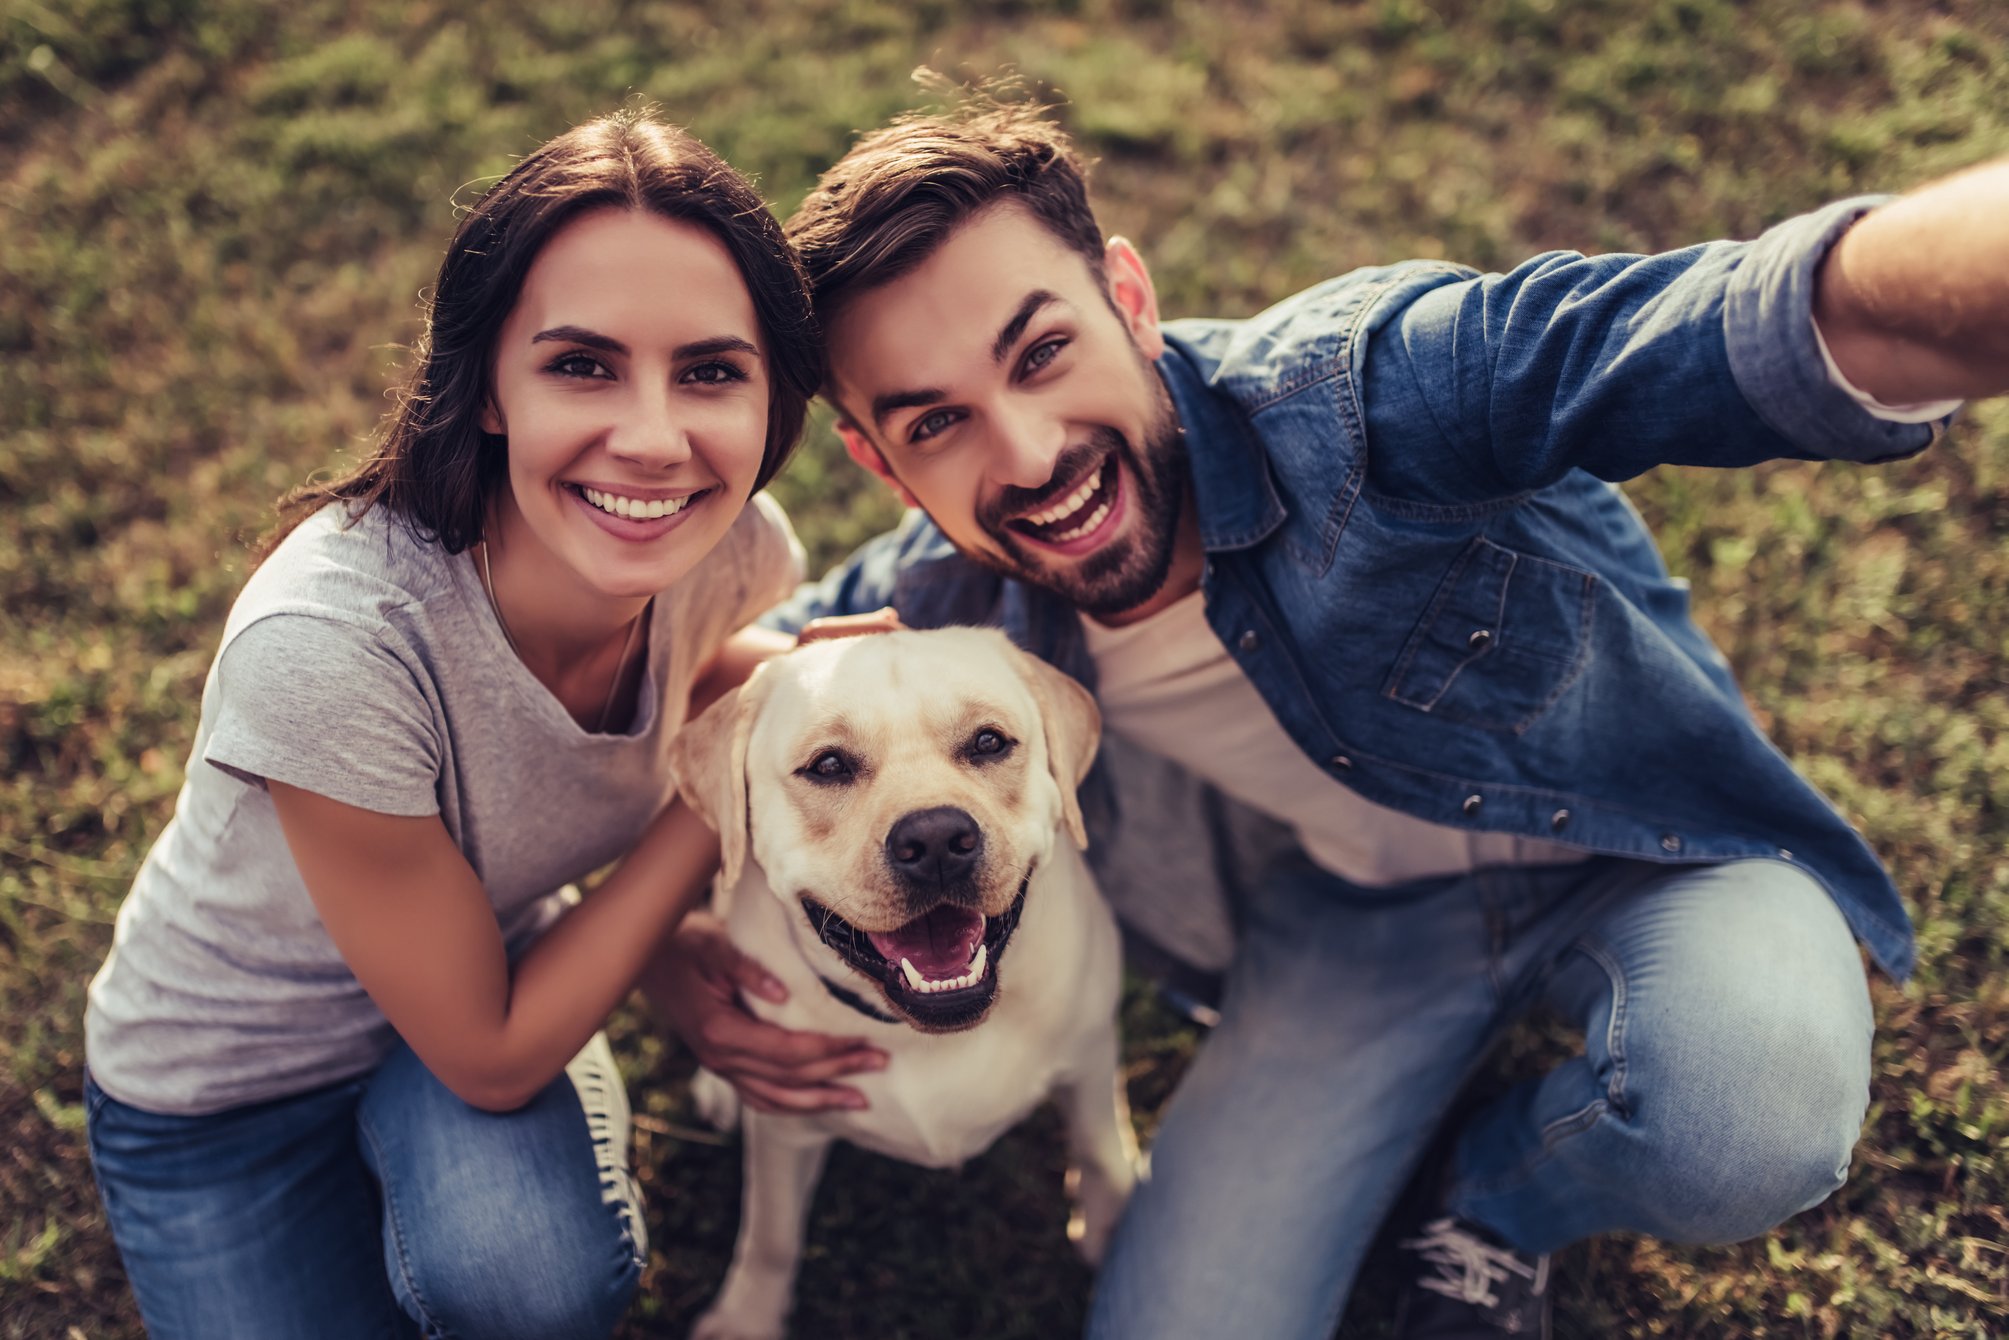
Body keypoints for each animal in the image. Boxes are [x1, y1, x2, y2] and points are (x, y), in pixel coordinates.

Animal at [671, 630, 1141, 1340]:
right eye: (828, 765)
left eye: (989, 742)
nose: (938, 838)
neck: (923, 1036)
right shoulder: (786, 1129)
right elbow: (770, 1234)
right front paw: (746, 1318)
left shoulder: (1087, 1058)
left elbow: (1099, 1147)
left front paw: (1114, 1228)